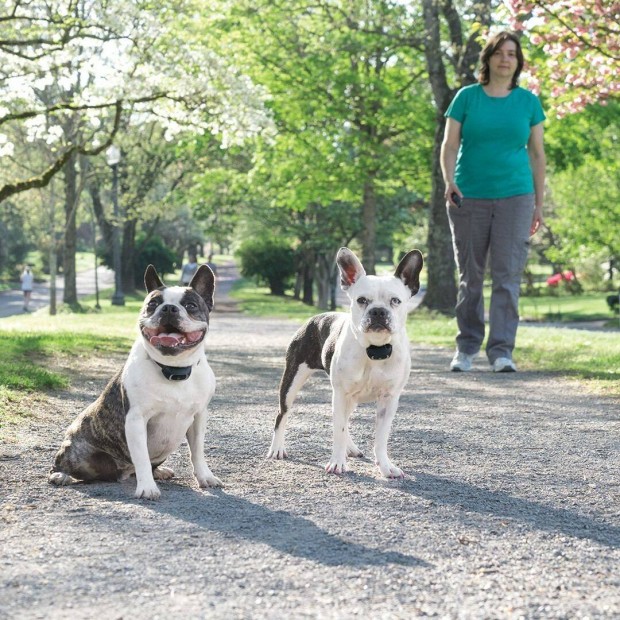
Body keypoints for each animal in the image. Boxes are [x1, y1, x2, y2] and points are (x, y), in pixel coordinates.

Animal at [49, 264, 223, 502]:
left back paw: (159, 471)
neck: (173, 369)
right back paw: (60, 475)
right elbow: (141, 456)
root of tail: (123, 472)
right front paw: (147, 488)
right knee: (62, 463)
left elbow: (197, 451)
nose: (169, 308)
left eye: (190, 305)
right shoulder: (136, 420)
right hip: (76, 452)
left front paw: (205, 477)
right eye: (152, 304)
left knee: (149, 464)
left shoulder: (198, 417)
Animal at [266, 247, 422, 480]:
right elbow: (337, 430)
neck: (374, 349)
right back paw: (277, 448)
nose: (378, 311)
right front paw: (337, 462)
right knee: (282, 414)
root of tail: (314, 318)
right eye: (361, 300)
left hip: (351, 398)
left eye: (395, 301)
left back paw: (351, 448)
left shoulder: (389, 399)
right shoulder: (340, 394)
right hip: (292, 380)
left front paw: (385, 467)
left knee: (346, 419)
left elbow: (381, 437)